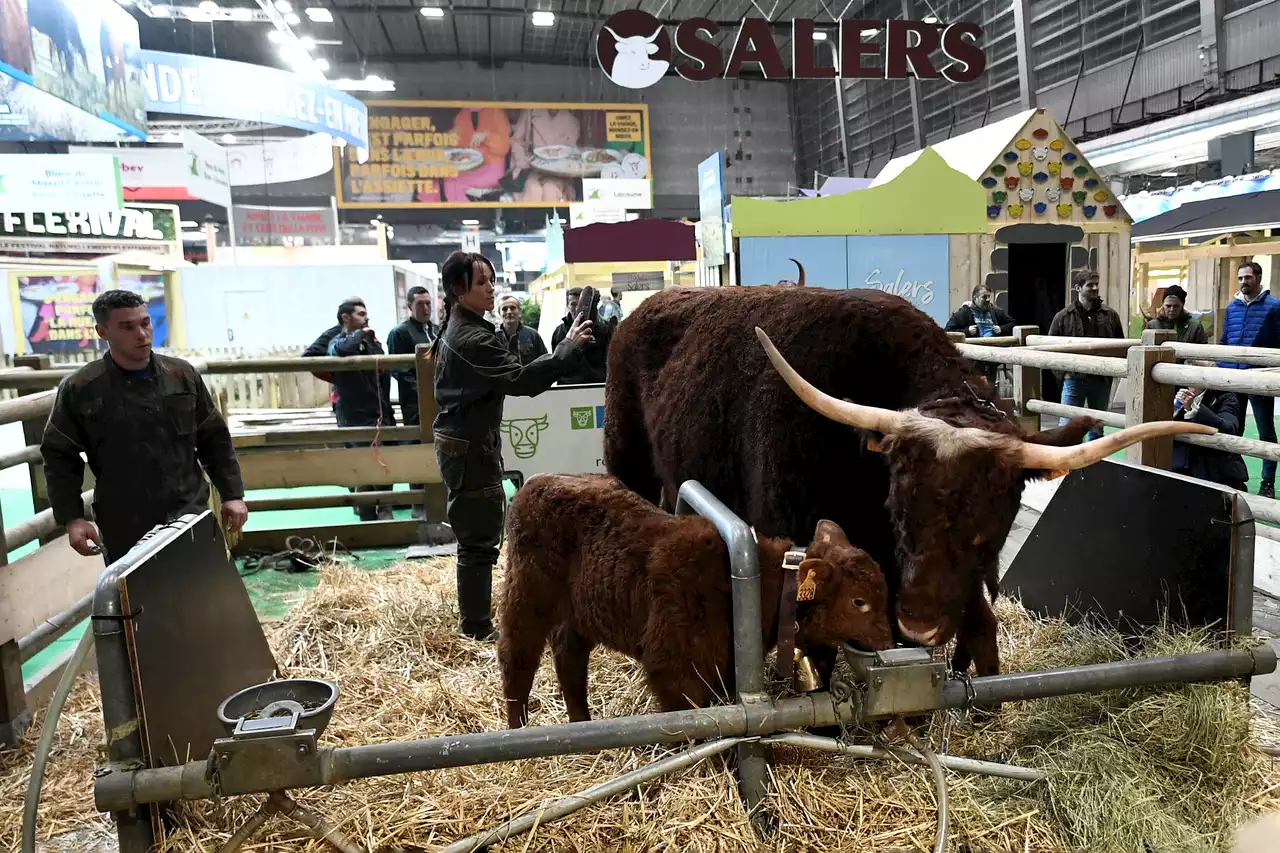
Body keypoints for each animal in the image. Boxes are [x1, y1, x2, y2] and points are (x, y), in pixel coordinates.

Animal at [496, 471, 890, 722]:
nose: (888, 639)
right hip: (526, 594)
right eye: (859, 601)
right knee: (516, 657)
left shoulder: (721, 665)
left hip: (579, 611)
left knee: (568, 657)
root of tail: (540, 479)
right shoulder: (672, 666)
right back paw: (519, 729)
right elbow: (689, 719)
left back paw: (581, 722)